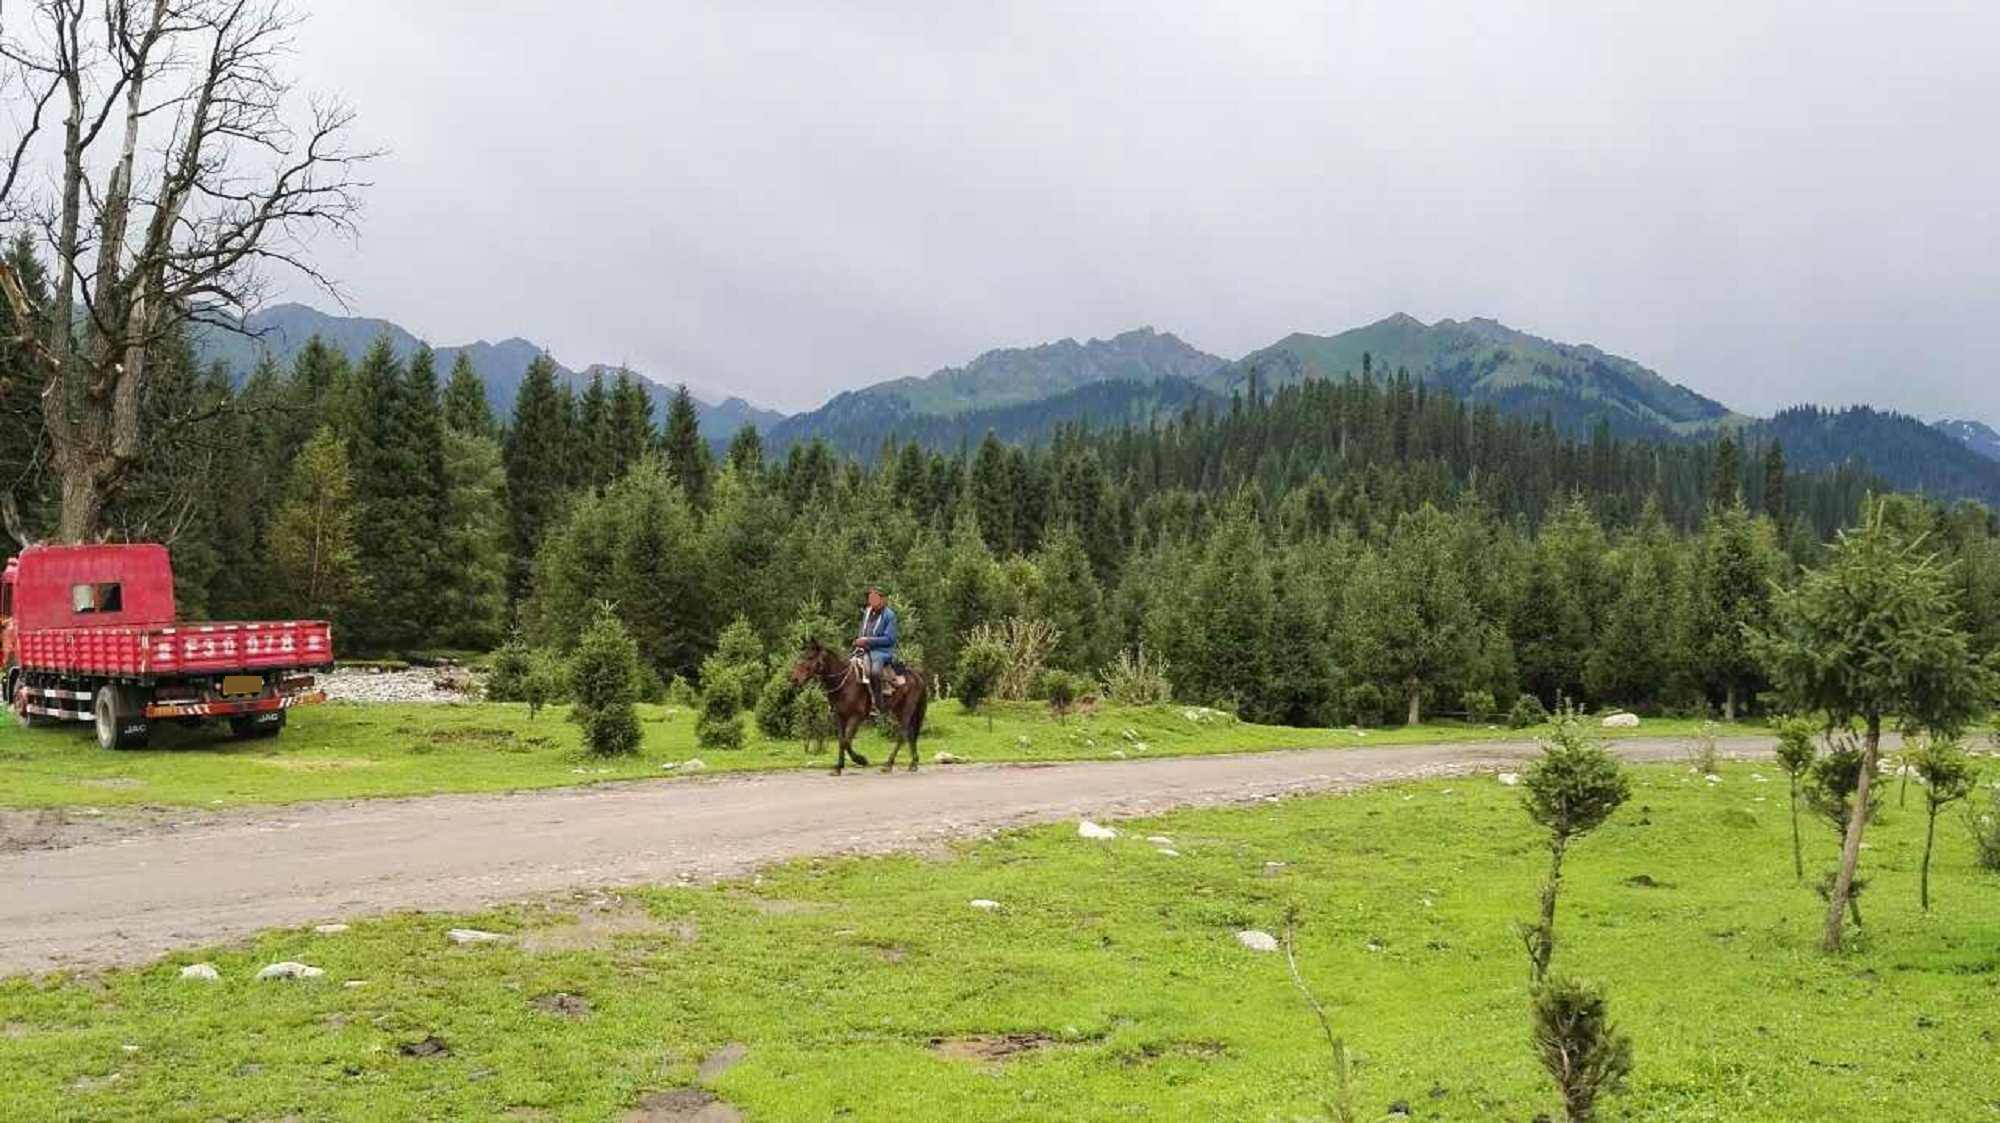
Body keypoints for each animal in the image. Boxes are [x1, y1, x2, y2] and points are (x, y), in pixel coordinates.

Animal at [788, 639, 928, 767]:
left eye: (810, 657)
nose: (794, 679)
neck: (846, 683)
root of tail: (917, 676)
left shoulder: (857, 716)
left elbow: (846, 741)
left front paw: (861, 760)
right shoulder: (839, 716)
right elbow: (842, 740)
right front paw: (839, 766)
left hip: (907, 708)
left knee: (903, 733)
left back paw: (889, 764)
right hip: (899, 709)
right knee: (910, 733)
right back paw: (913, 762)